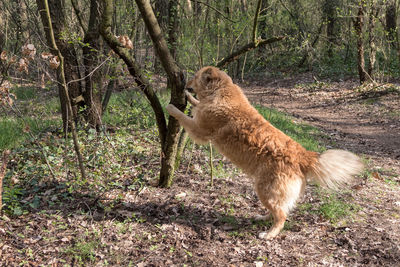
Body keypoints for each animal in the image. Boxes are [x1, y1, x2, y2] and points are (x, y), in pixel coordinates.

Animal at [165, 66, 362, 240]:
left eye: (195, 76)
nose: (185, 85)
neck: (220, 91)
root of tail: (302, 155)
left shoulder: (199, 130)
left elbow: (183, 116)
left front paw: (171, 107)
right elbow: (196, 103)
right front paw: (189, 98)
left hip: (264, 189)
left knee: (281, 216)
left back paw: (269, 234)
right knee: (278, 211)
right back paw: (262, 218)